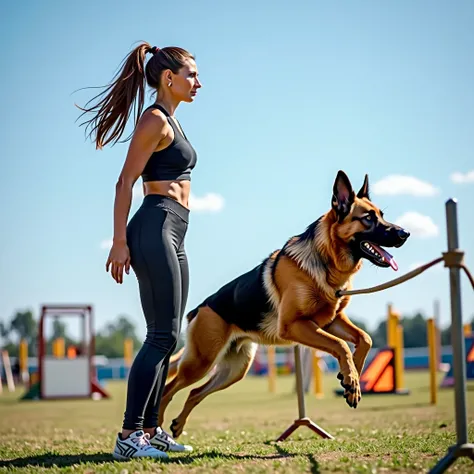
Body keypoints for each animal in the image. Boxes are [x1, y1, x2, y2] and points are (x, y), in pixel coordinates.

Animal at [158, 170, 408, 436]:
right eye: (368, 218)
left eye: (382, 215)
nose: (405, 233)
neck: (325, 262)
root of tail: (198, 310)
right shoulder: (295, 325)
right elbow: (340, 344)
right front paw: (350, 378)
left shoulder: (331, 320)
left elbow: (364, 339)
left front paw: (352, 378)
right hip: (201, 362)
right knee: (169, 389)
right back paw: (157, 429)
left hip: (233, 370)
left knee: (195, 392)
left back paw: (177, 425)